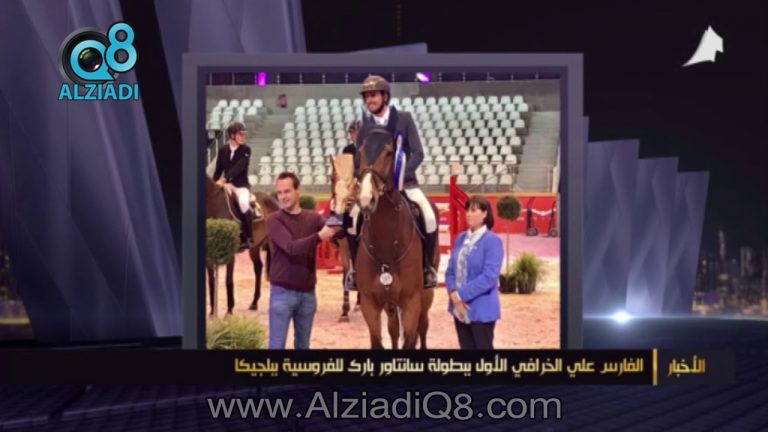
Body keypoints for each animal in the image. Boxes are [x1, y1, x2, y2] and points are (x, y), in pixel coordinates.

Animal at [205, 176, 279, 315]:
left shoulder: (230, 254)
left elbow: (228, 280)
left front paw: (229, 309)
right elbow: (211, 281)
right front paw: (212, 311)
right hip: (254, 247)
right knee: (258, 267)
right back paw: (254, 303)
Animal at [355, 129, 438, 349]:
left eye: (390, 153)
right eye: (361, 151)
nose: (366, 199)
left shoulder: (411, 302)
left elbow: (410, 339)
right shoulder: (369, 303)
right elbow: (378, 341)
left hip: (426, 296)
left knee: (423, 327)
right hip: (389, 304)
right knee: (393, 328)